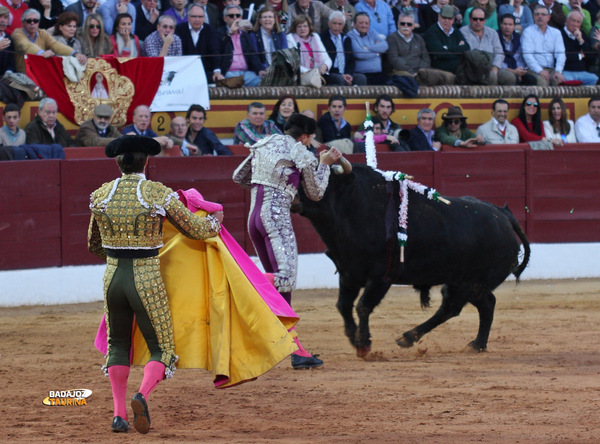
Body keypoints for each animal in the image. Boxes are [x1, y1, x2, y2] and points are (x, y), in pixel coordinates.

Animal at [296, 164, 528, 358]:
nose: (293, 198)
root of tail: (503, 215)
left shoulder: (382, 276)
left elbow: (363, 306)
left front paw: (365, 344)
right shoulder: (349, 273)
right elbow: (343, 305)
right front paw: (355, 340)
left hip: (469, 284)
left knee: (458, 307)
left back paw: (415, 338)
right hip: (462, 282)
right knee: (479, 304)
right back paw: (471, 343)